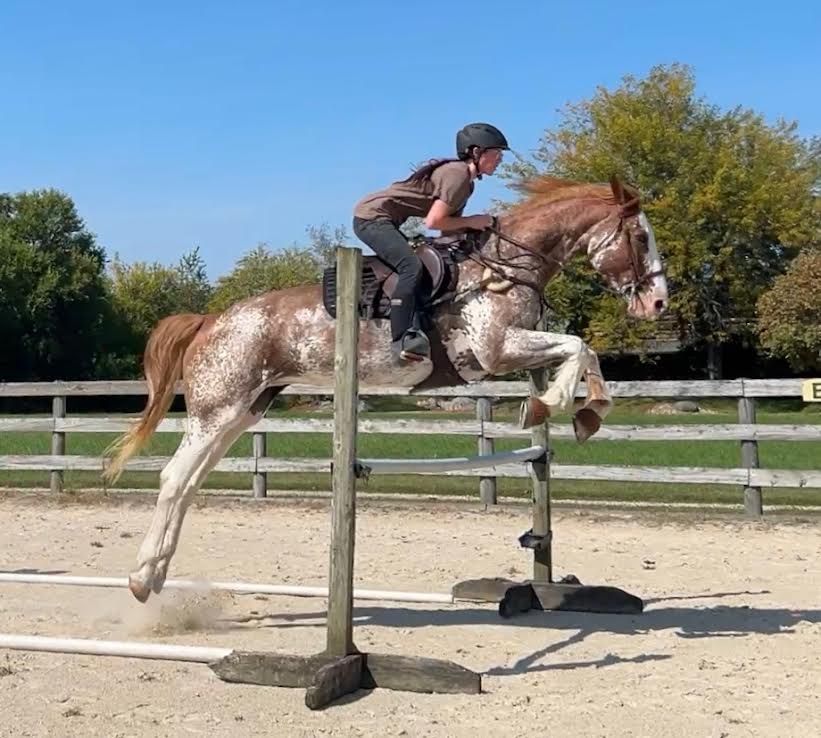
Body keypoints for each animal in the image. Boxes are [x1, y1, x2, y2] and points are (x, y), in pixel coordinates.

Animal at [103, 174, 669, 603]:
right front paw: (548, 405)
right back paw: (140, 578)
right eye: (641, 239)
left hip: (244, 411)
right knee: (175, 478)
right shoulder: (496, 350)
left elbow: (583, 351)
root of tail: (211, 320)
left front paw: (587, 410)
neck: (507, 267)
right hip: (217, 410)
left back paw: (154, 576)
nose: (659, 303)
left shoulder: (515, 348)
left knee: (190, 483)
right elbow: (577, 344)